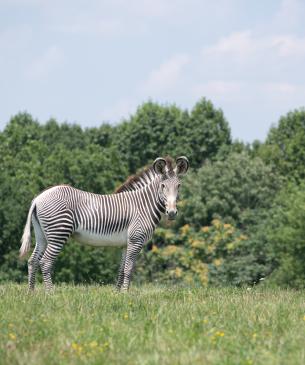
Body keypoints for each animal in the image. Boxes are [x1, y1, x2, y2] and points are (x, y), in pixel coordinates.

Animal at [19, 156, 188, 290]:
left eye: (179, 186)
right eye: (163, 186)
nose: (172, 213)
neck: (143, 205)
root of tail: (38, 198)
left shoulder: (126, 243)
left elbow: (121, 269)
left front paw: (117, 294)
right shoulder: (136, 240)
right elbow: (129, 269)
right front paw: (125, 294)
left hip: (42, 235)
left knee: (33, 261)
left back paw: (31, 293)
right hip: (58, 233)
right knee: (45, 262)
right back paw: (50, 293)